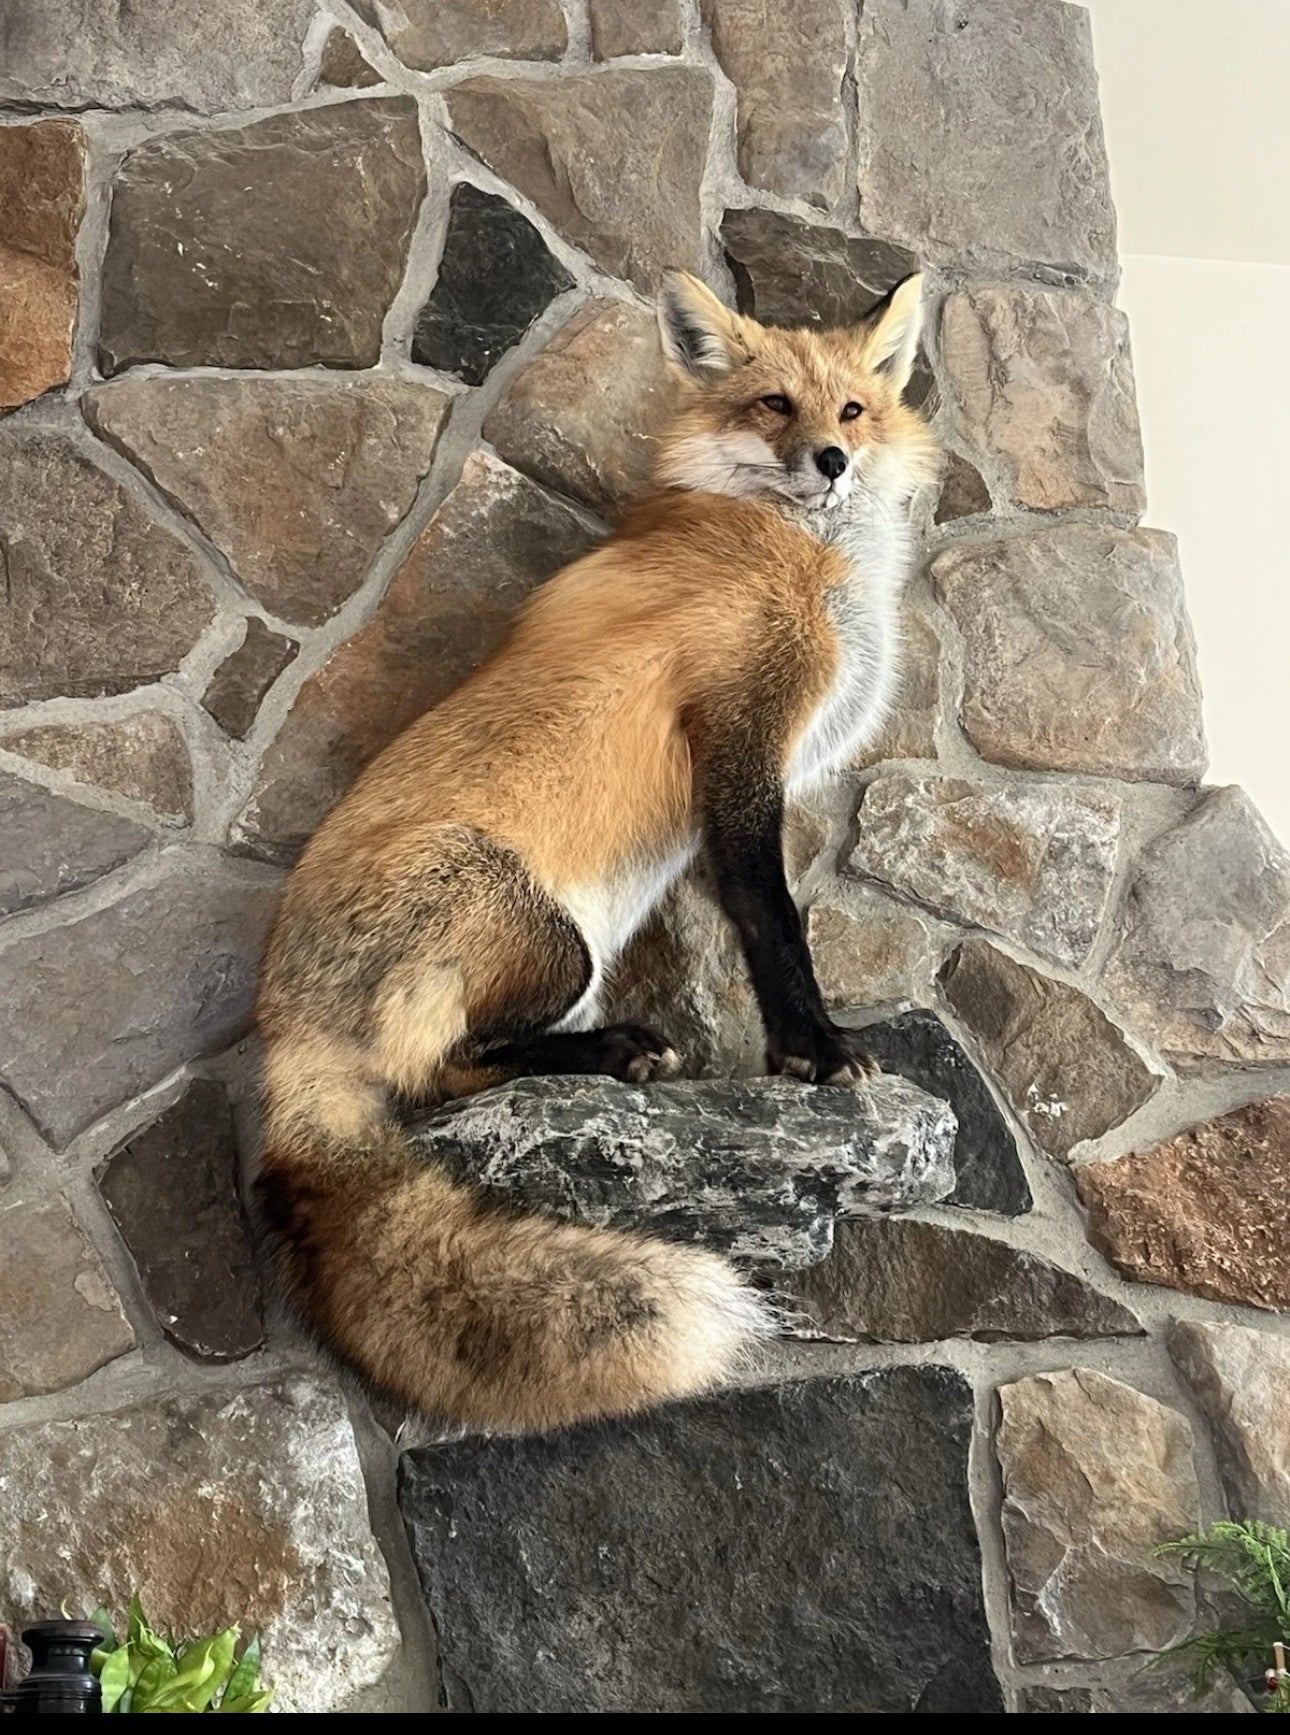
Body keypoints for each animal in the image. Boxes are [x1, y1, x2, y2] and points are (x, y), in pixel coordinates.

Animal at [254, 269, 939, 1434]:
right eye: (774, 405)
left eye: (852, 410)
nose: (832, 461)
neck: (798, 551)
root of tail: (281, 1030)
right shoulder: (741, 737)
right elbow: (776, 919)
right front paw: (812, 1048)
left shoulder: (728, 797)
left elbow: (744, 917)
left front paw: (785, 1045)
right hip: (548, 936)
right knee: (443, 1073)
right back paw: (618, 1051)